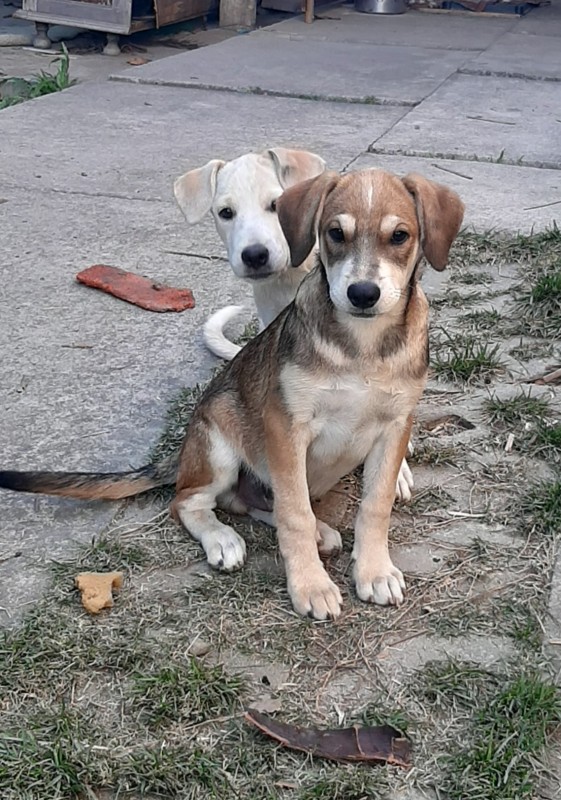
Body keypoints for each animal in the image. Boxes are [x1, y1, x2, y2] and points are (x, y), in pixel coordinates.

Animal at [0, 167, 462, 620]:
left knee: (252, 502)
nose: (363, 294)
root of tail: (183, 452)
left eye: (399, 236)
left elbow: (374, 506)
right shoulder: (286, 428)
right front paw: (310, 585)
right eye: (335, 233)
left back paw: (321, 533)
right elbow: (294, 512)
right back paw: (225, 539)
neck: (362, 346)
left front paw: (374, 571)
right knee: (189, 501)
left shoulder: (394, 427)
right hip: (219, 443)